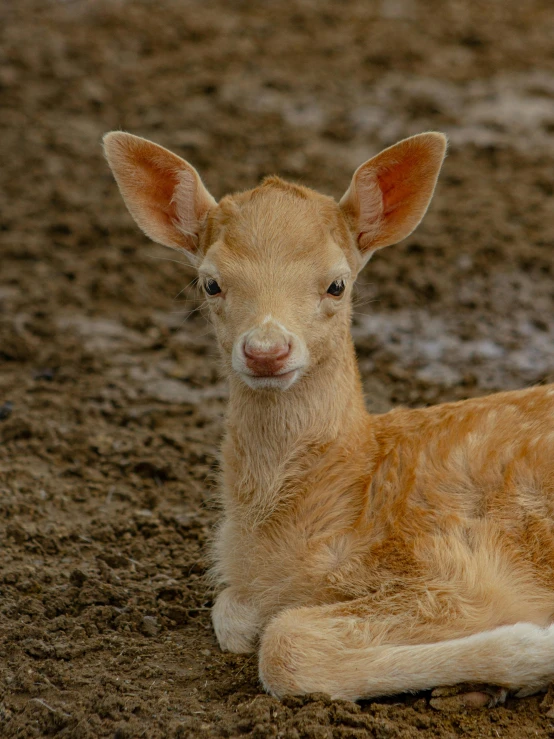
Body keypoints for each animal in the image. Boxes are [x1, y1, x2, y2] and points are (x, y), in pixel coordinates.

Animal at [104, 130, 552, 704]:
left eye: (337, 284)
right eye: (211, 284)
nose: (266, 350)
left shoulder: (459, 568)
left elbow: (285, 643)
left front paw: (534, 647)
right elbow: (232, 616)